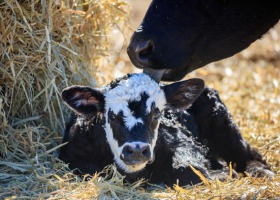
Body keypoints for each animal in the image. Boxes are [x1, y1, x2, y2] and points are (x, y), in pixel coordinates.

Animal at [58, 73, 274, 186]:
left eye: (157, 114)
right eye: (111, 116)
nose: (137, 150)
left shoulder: (183, 142)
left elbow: (188, 168)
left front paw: (221, 175)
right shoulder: (72, 156)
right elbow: (91, 170)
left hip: (222, 123)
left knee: (248, 154)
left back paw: (260, 171)